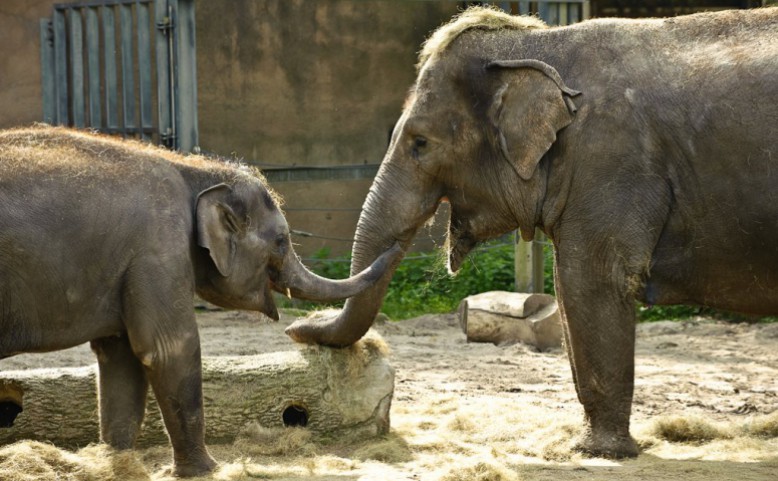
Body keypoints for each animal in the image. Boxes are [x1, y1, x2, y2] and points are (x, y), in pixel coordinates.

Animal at [0, 124, 400, 476]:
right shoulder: (158, 248)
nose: (397, 245)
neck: (193, 169)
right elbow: (169, 350)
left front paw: (118, 462)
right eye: (281, 241)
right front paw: (207, 470)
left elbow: (120, 358)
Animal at [288, 6, 776, 458]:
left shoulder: (609, 161)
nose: (297, 327)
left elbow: (589, 282)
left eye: (419, 143)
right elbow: (568, 290)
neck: (541, 43)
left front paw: (601, 452)